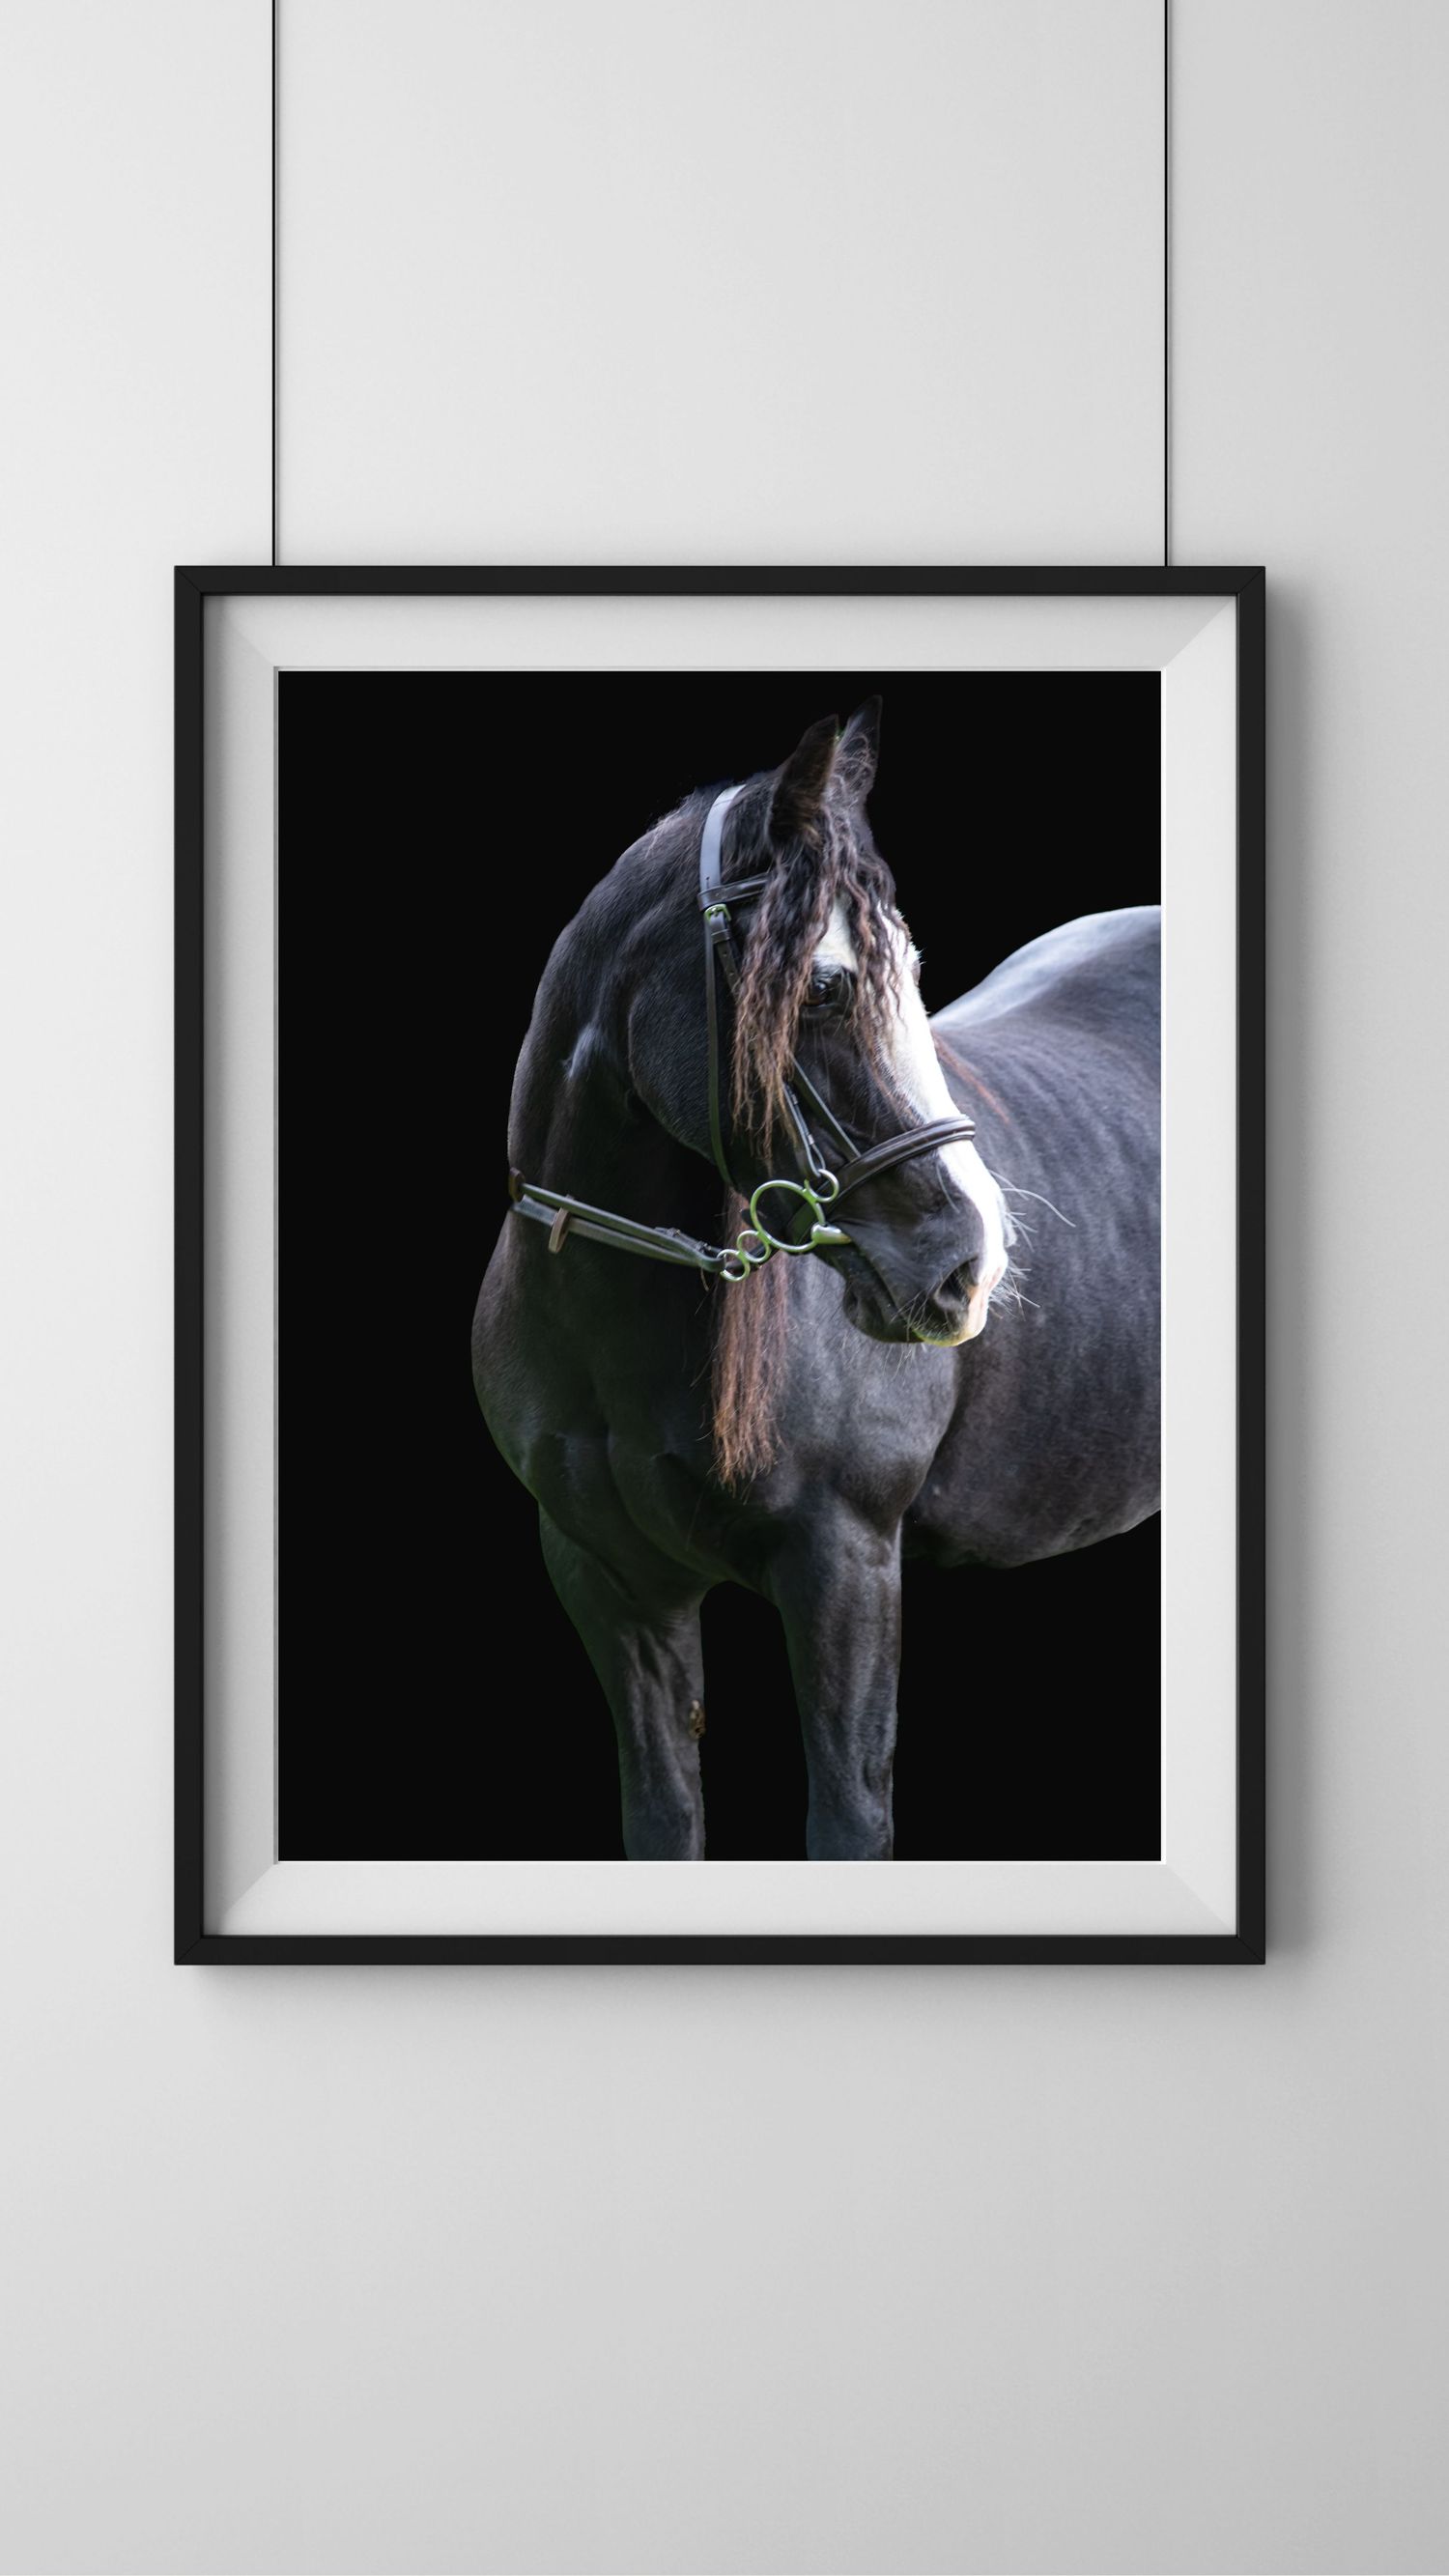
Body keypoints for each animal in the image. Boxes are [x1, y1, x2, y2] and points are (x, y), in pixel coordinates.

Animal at [472, 701, 1160, 1860]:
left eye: (912, 972)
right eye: (829, 985)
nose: (970, 1266)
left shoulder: (846, 1568)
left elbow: (848, 1821)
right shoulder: (609, 1582)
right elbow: (662, 1821)